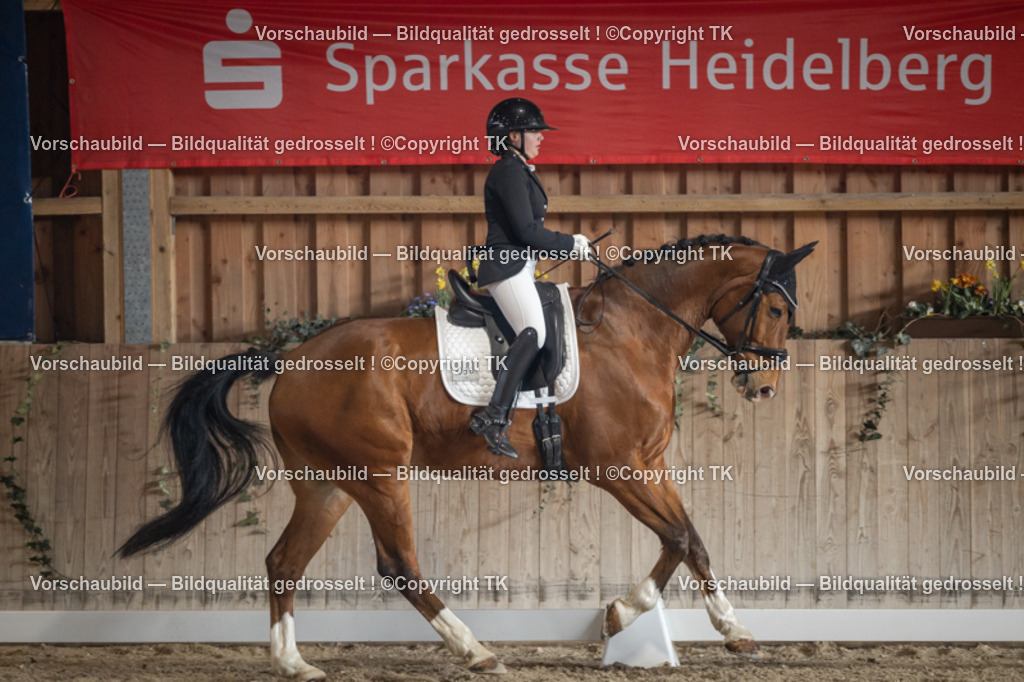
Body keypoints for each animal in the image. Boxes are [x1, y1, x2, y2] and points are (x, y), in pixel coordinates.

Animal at [119, 233, 816, 680]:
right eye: (775, 307)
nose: (763, 387)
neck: (630, 333)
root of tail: (291, 359)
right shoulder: (618, 468)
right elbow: (678, 535)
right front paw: (634, 616)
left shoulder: (649, 465)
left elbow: (689, 538)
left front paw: (718, 629)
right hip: (381, 475)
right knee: (398, 563)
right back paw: (476, 650)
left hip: (330, 485)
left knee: (284, 562)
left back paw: (293, 662)